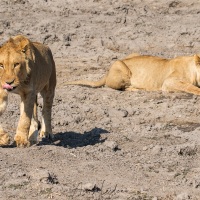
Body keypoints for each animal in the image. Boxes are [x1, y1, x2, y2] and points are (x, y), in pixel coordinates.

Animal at [65, 53, 200, 95]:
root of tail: (107, 73)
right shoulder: (168, 82)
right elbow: (188, 86)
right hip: (121, 66)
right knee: (122, 87)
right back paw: (138, 89)